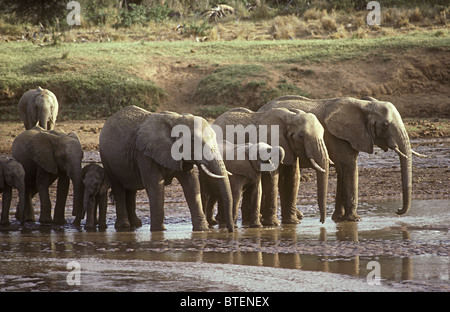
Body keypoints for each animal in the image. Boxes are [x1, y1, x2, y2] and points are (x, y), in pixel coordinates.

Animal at [100, 105, 234, 232]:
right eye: (192, 141)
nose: (230, 230)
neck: (177, 119)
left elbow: (192, 184)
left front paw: (202, 230)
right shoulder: (145, 154)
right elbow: (155, 185)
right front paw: (159, 231)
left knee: (131, 190)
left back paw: (136, 225)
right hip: (106, 159)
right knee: (119, 188)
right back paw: (123, 226)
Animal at [260, 96, 426, 221]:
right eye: (385, 125)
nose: (398, 211)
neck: (365, 105)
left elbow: (342, 169)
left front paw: (339, 218)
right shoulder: (338, 136)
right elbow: (349, 166)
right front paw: (354, 219)